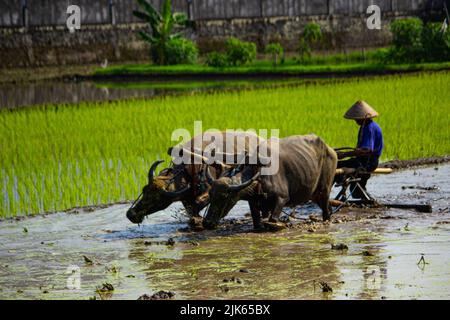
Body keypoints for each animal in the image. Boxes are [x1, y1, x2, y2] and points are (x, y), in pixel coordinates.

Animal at [125, 131, 264, 224]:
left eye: (157, 198)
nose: (131, 214)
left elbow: (197, 204)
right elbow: (191, 209)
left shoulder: (209, 189)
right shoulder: (186, 199)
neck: (189, 171)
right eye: (144, 190)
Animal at [202, 134, 336, 229]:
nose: (207, 223)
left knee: (326, 210)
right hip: (313, 195)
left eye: (224, 196)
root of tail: (330, 149)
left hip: (324, 190)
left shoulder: (282, 198)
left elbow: (272, 221)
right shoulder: (255, 203)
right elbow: (257, 221)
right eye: (210, 194)